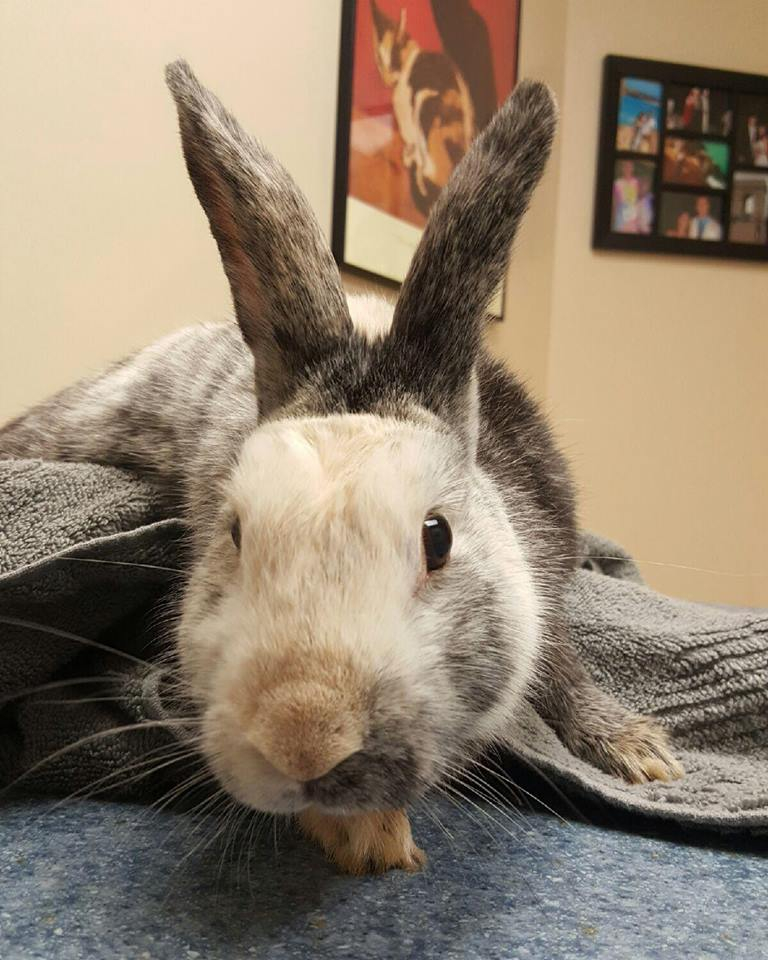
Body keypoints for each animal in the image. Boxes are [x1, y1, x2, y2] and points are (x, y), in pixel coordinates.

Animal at [0, 61, 682, 874]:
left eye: (437, 538)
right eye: (234, 534)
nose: (304, 738)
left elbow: (561, 667)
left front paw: (640, 753)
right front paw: (368, 837)